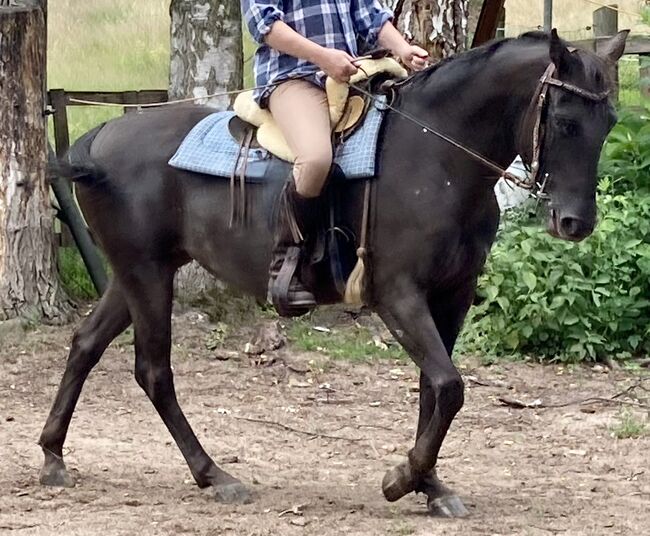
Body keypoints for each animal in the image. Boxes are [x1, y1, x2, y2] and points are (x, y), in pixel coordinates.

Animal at [38, 31, 624, 516]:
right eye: (566, 121)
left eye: (610, 123)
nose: (575, 222)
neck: (435, 157)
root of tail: (100, 137)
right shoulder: (397, 295)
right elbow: (450, 386)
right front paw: (402, 479)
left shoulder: (453, 296)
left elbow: (432, 389)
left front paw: (430, 486)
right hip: (147, 275)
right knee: (153, 371)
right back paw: (214, 475)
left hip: (136, 273)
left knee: (85, 344)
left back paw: (52, 457)